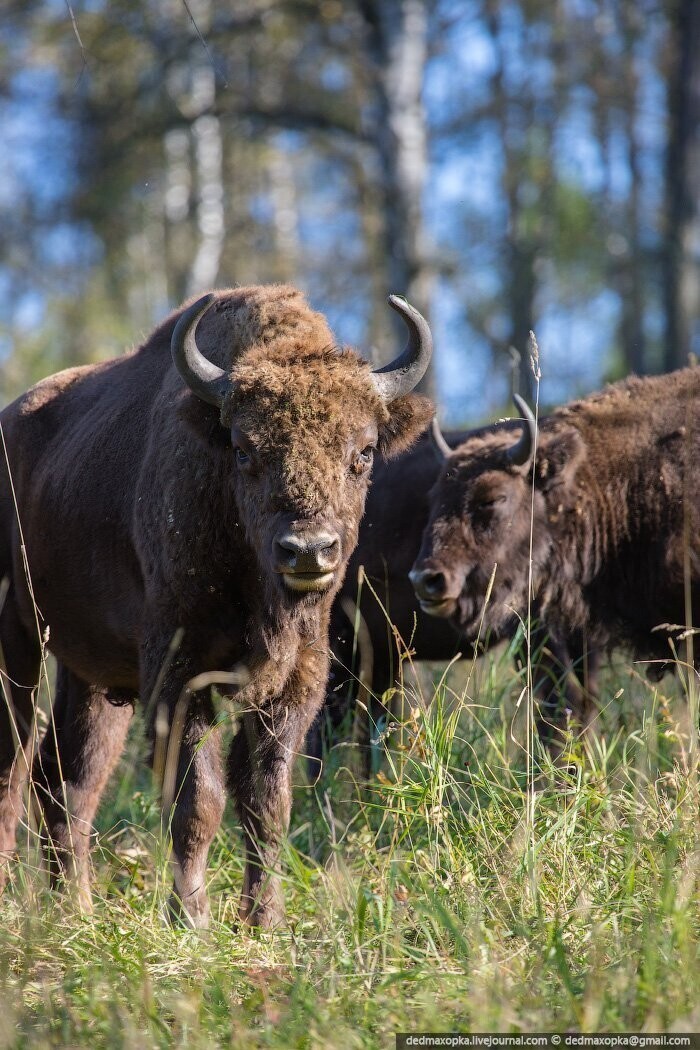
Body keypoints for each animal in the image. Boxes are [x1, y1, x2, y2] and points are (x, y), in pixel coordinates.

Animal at [0, 285, 434, 928]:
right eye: (244, 449)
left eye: (364, 451)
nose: (308, 550)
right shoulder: (178, 676)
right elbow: (197, 800)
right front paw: (193, 919)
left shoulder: (296, 683)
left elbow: (266, 802)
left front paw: (264, 919)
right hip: (17, 641)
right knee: (14, 762)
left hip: (90, 672)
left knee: (68, 776)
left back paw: (76, 910)